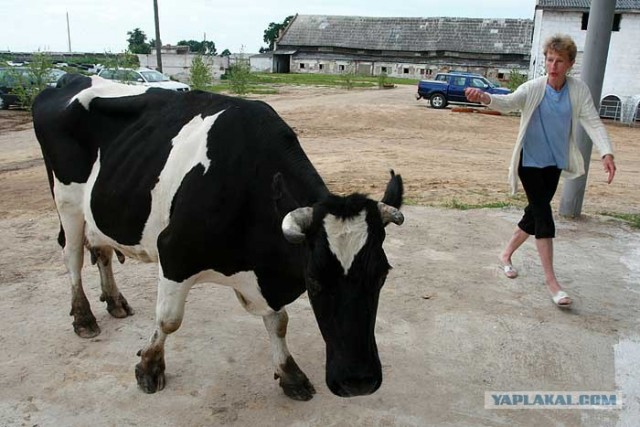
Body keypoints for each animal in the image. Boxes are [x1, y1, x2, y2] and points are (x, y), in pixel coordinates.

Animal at [32, 74, 402, 402]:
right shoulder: (174, 253)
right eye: (313, 278)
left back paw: (114, 301)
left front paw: (290, 374)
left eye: (382, 274)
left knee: (102, 251)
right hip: (66, 202)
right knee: (73, 257)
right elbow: (168, 320)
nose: (358, 382)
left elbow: (278, 322)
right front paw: (149, 367)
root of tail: (67, 80)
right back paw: (84, 317)